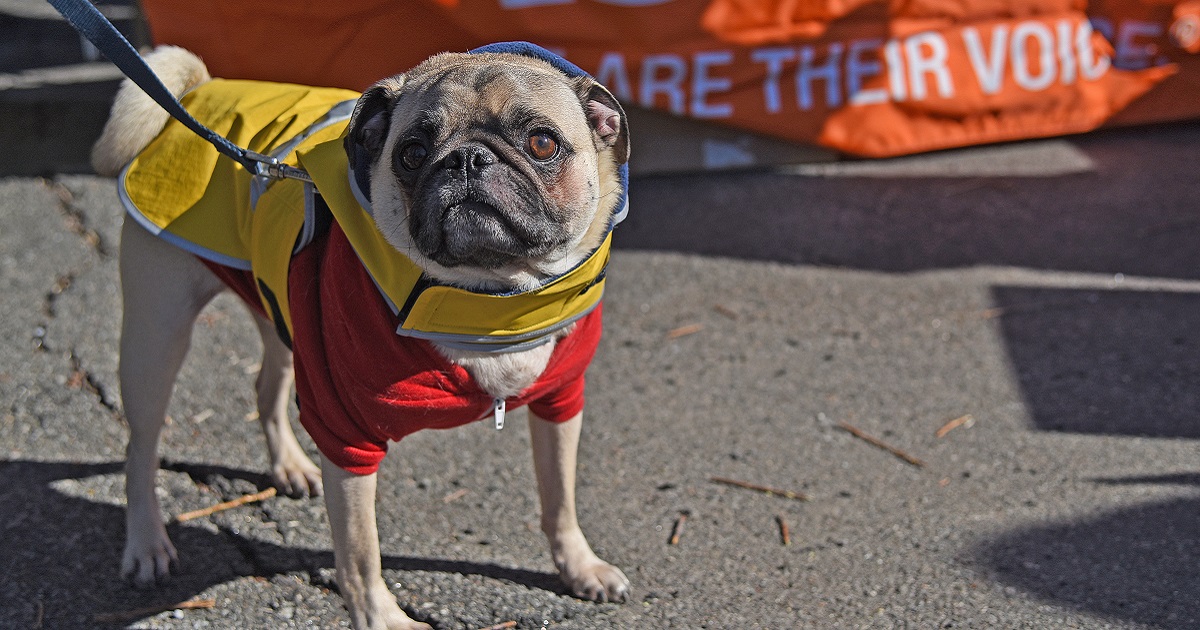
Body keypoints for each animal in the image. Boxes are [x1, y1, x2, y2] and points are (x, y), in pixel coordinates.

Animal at [96, 41, 628, 624]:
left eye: (542, 143)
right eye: (412, 154)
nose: (467, 158)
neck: (489, 305)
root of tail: (198, 89)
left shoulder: (559, 402)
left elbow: (560, 497)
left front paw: (578, 565)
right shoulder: (346, 437)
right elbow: (360, 552)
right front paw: (381, 618)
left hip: (279, 305)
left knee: (266, 387)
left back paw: (289, 466)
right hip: (156, 337)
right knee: (141, 446)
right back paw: (147, 542)